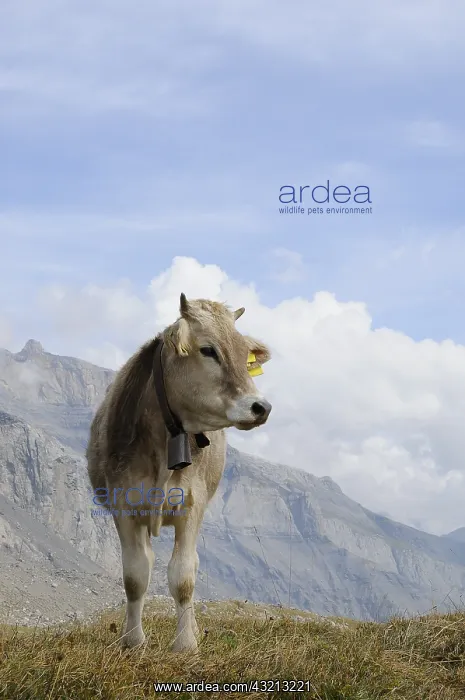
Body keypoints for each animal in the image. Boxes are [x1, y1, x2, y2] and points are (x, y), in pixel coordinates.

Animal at [86, 294, 272, 652]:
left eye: (245, 354)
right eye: (208, 350)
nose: (261, 407)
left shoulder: (192, 506)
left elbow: (183, 576)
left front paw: (186, 644)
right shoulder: (123, 507)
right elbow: (135, 576)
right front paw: (132, 641)